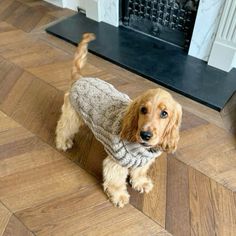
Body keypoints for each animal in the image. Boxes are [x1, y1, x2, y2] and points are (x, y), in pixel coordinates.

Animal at [55, 32, 183, 206]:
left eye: (164, 113)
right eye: (143, 109)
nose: (145, 135)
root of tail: (79, 78)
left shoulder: (142, 162)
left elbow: (139, 172)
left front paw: (141, 183)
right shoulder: (116, 162)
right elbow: (115, 181)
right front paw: (119, 196)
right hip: (71, 117)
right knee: (62, 128)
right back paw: (62, 142)